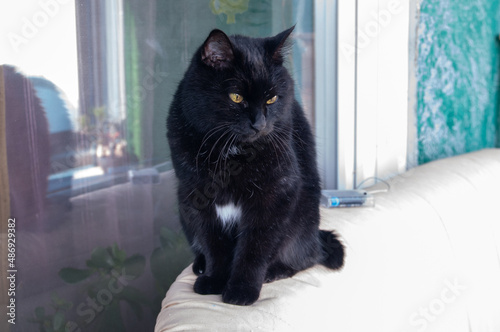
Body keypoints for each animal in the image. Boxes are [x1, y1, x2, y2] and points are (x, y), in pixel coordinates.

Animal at [168, 27, 344, 304]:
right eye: (236, 96)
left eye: (271, 99)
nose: (259, 124)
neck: (230, 153)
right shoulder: (197, 196)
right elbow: (213, 244)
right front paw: (214, 280)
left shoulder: (274, 195)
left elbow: (254, 248)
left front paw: (241, 291)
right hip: (183, 205)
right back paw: (200, 265)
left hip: (303, 219)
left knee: (306, 256)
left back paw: (275, 271)